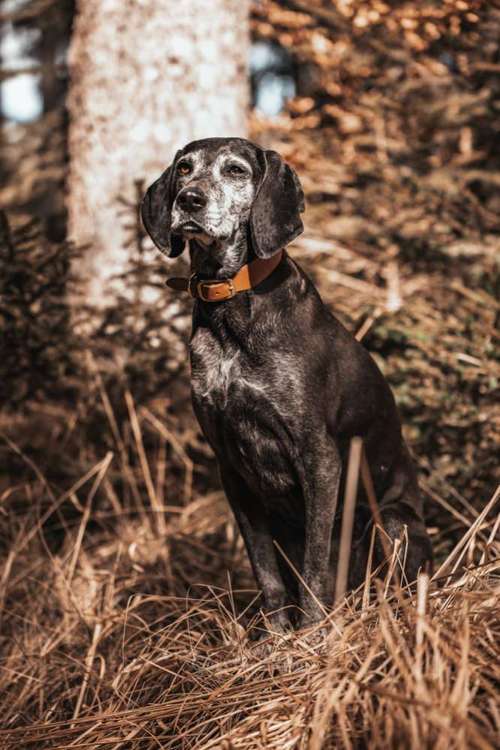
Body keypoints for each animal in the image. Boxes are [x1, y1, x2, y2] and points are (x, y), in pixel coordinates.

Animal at [142, 137, 434, 636]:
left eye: (236, 171)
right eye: (184, 169)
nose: (189, 200)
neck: (232, 305)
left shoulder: (319, 458)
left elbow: (316, 566)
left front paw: (311, 635)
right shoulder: (231, 467)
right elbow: (267, 572)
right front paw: (275, 637)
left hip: (392, 520)